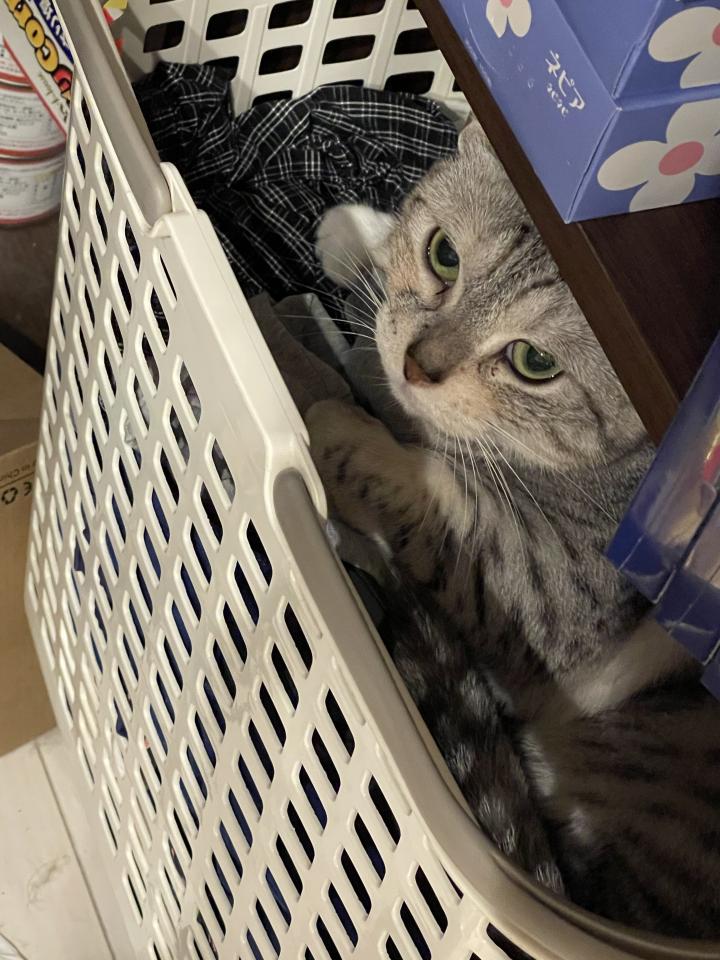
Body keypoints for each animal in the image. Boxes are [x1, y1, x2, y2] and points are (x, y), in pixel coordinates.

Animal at [306, 119, 720, 940]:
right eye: (444, 255)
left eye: (532, 362)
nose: (419, 366)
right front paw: (361, 236)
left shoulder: (552, 582)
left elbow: (438, 496)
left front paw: (343, 432)